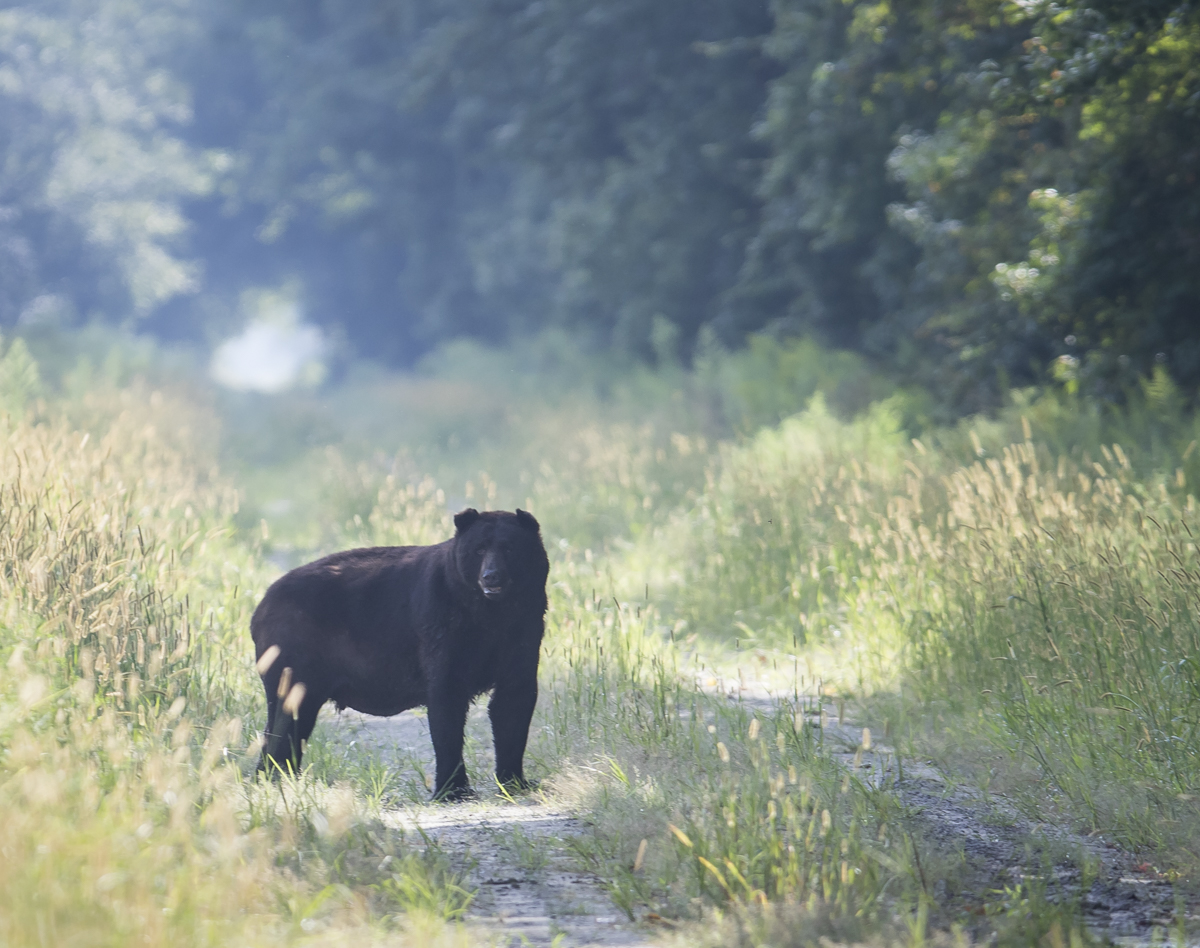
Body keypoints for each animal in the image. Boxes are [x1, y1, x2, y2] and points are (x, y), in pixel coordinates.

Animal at [250, 507, 549, 800]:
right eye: (478, 549)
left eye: (509, 548)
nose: (491, 576)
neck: (492, 614)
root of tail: (260, 606)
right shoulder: (442, 627)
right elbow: (447, 703)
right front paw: (452, 789)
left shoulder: (525, 629)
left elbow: (513, 702)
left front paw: (515, 781)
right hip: (293, 655)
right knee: (285, 717)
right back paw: (273, 778)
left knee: (293, 721)